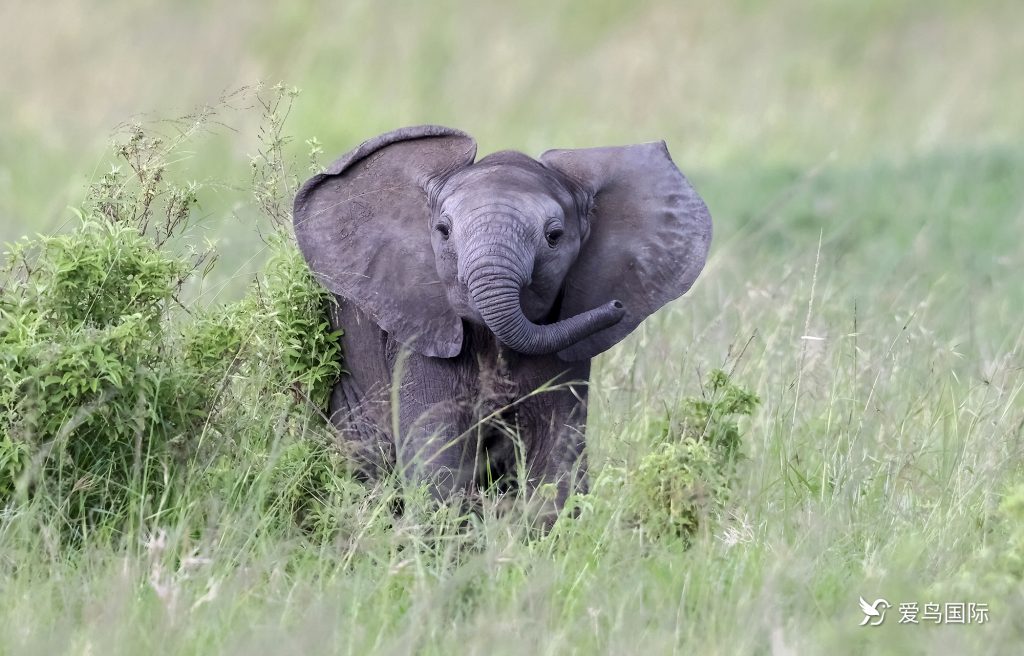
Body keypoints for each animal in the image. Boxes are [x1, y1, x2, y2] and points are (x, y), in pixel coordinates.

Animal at [290, 125, 712, 519]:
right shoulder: (419, 333)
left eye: (554, 236)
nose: (617, 305)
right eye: (443, 231)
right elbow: (439, 456)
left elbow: (554, 456)